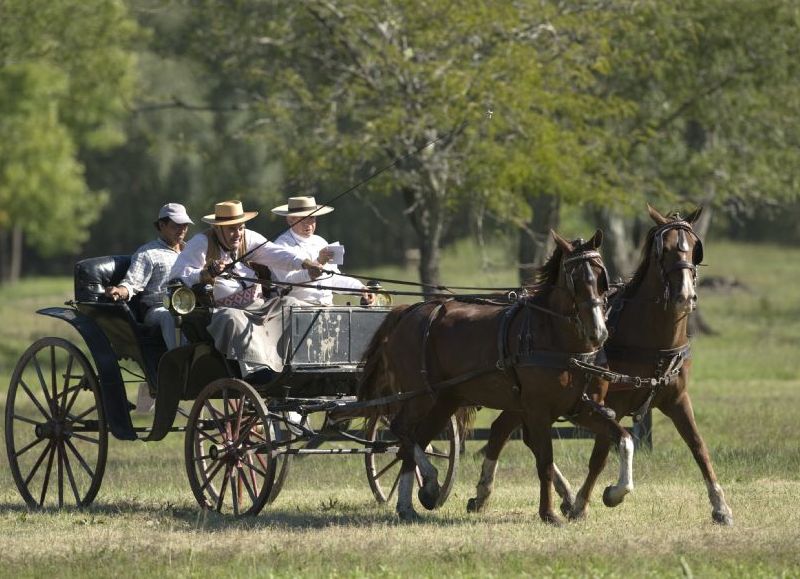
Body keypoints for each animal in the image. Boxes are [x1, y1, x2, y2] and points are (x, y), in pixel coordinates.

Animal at [360, 231, 636, 524]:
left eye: (601, 275)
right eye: (574, 279)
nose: (598, 331)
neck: (559, 341)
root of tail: (407, 312)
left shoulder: (582, 407)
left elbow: (624, 438)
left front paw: (615, 493)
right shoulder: (538, 410)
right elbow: (545, 463)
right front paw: (548, 513)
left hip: (444, 400)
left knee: (415, 441)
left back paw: (409, 504)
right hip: (420, 396)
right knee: (402, 430)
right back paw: (430, 483)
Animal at [468, 207, 736, 524]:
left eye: (695, 248)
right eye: (665, 249)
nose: (684, 296)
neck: (651, 338)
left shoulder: (677, 399)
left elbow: (698, 447)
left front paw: (720, 506)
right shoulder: (611, 405)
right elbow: (601, 454)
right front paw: (590, 501)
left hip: (523, 399)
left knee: (505, 430)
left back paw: (497, 493)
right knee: (512, 434)